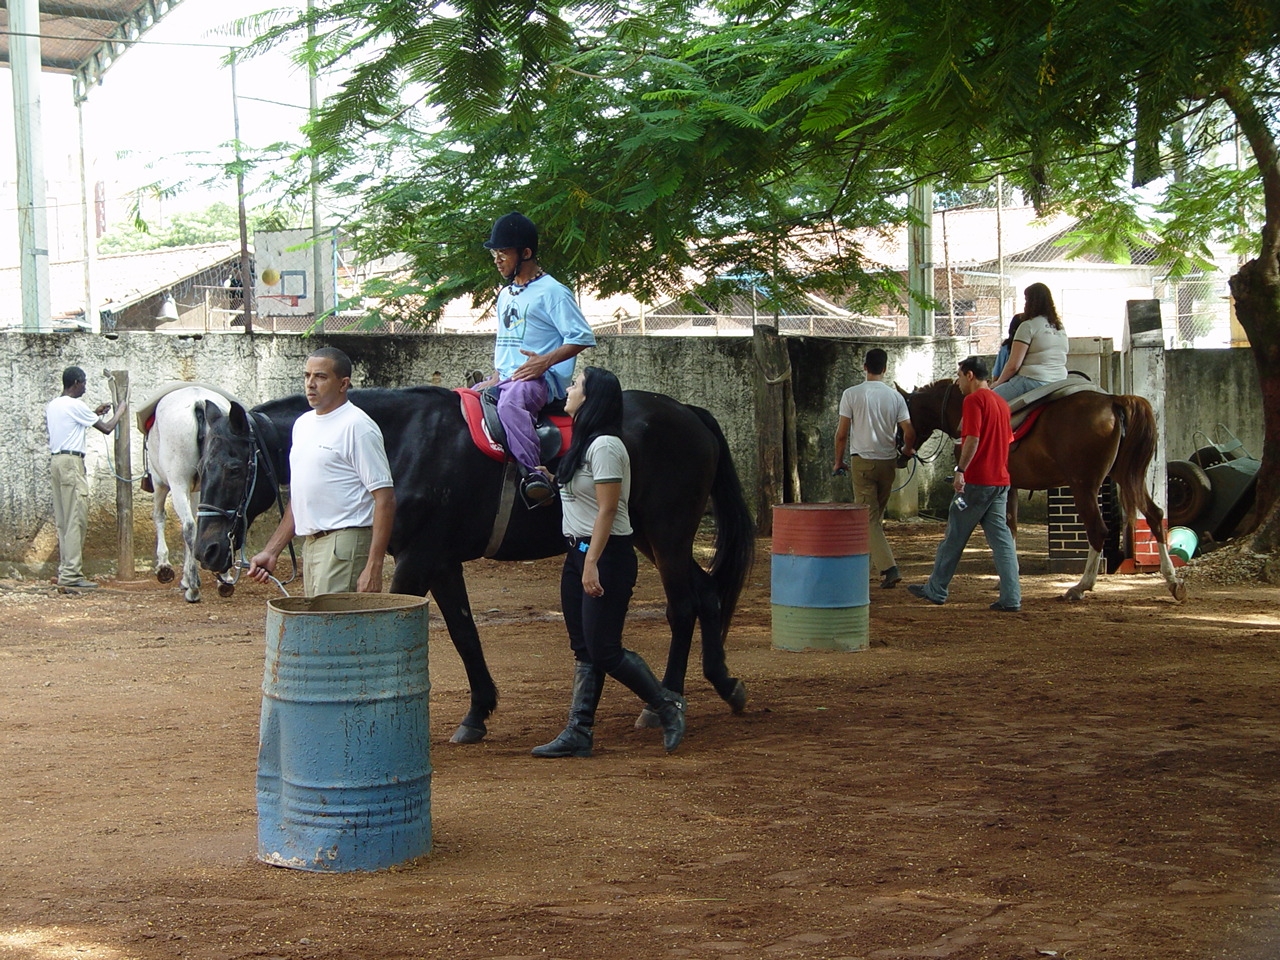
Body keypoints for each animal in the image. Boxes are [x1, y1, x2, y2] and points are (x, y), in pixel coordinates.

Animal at [144, 386, 234, 604]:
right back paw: (224, 580)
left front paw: (164, 567)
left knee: (188, 527)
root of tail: (198, 400)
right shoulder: (199, 489)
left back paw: (193, 589)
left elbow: (159, 516)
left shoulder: (160, 483)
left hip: (177, 482)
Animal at [188, 386, 747, 747]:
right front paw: (477, 714)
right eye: (201, 469)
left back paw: (666, 701)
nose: (207, 550)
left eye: (235, 467)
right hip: (650, 536)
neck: (398, 439)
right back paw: (720, 682)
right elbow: (464, 633)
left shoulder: (417, 560)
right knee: (706, 595)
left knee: (682, 606)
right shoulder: (441, 562)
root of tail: (688, 412)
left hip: (667, 532)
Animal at [906, 381, 1182, 601]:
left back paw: (1081, 586)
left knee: (1098, 530)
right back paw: (1172, 580)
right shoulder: (1009, 487)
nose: (902, 447)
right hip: (1127, 476)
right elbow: (1010, 527)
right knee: (1155, 515)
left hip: (1083, 485)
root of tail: (1113, 400)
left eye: (907, 412)